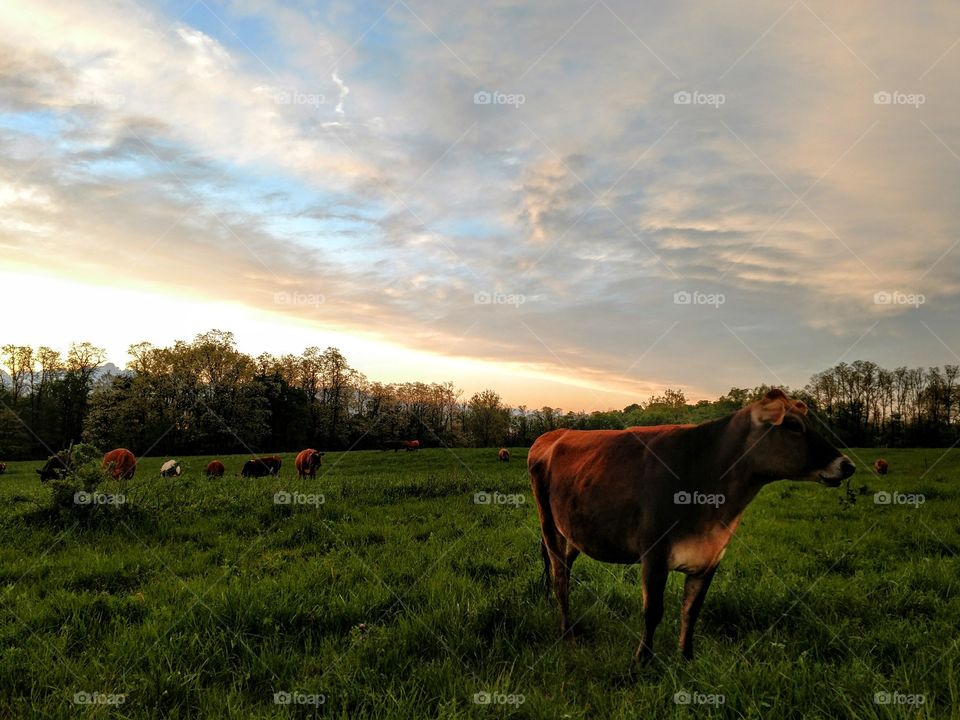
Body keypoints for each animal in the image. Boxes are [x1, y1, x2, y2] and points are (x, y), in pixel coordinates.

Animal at [532, 390, 856, 660]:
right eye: (793, 425)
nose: (847, 465)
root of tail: (553, 434)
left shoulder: (711, 557)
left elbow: (691, 611)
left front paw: (686, 658)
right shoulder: (654, 552)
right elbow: (653, 611)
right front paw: (642, 661)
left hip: (573, 531)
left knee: (565, 569)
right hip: (548, 522)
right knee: (559, 578)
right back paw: (568, 633)